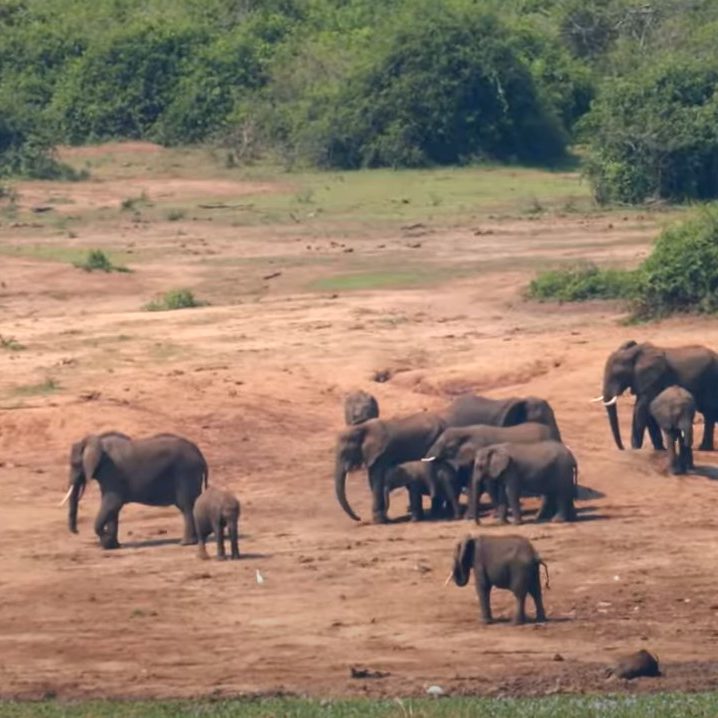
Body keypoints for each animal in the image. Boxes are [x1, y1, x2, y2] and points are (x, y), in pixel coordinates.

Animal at [61, 434, 210, 552]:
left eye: (75, 464)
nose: (77, 531)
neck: (97, 441)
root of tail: (201, 456)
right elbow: (113, 509)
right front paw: (113, 546)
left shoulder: (111, 473)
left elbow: (112, 504)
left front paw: (107, 542)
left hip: (186, 473)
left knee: (186, 506)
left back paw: (185, 543)